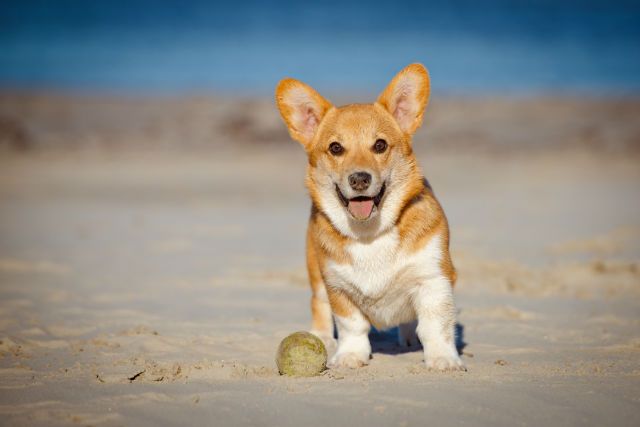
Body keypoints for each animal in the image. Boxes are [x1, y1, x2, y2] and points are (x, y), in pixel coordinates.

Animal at [276, 63, 464, 372]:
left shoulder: (433, 279)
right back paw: (322, 337)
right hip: (315, 270)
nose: (360, 179)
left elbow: (435, 325)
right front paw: (351, 355)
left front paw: (443, 359)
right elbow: (351, 325)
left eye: (379, 145)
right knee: (319, 303)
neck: (369, 235)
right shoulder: (338, 287)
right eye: (336, 148)